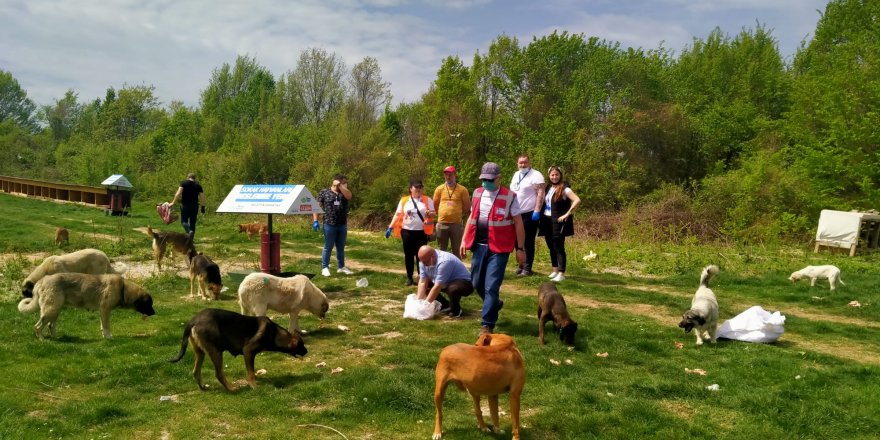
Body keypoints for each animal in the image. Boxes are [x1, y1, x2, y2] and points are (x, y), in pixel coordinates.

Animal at [17, 272, 156, 340]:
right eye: (149, 303)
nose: (155, 313)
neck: (123, 288)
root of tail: (41, 281)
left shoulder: (102, 311)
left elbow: (102, 326)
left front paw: (104, 337)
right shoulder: (105, 310)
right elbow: (106, 327)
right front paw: (109, 338)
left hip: (55, 310)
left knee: (50, 325)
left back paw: (57, 338)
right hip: (51, 310)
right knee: (37, 326)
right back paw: (42, 340)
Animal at [167, 308, 308, 390]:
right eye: (301, 345)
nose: (307, 351)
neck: (274, 333)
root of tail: (193, 321)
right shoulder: (248, 351)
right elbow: (250, 373)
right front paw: (254, 386)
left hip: (200, 352)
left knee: (196, 371)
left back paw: (203, 387)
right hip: (216, 351)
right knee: (219, 374)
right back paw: (231, 388)